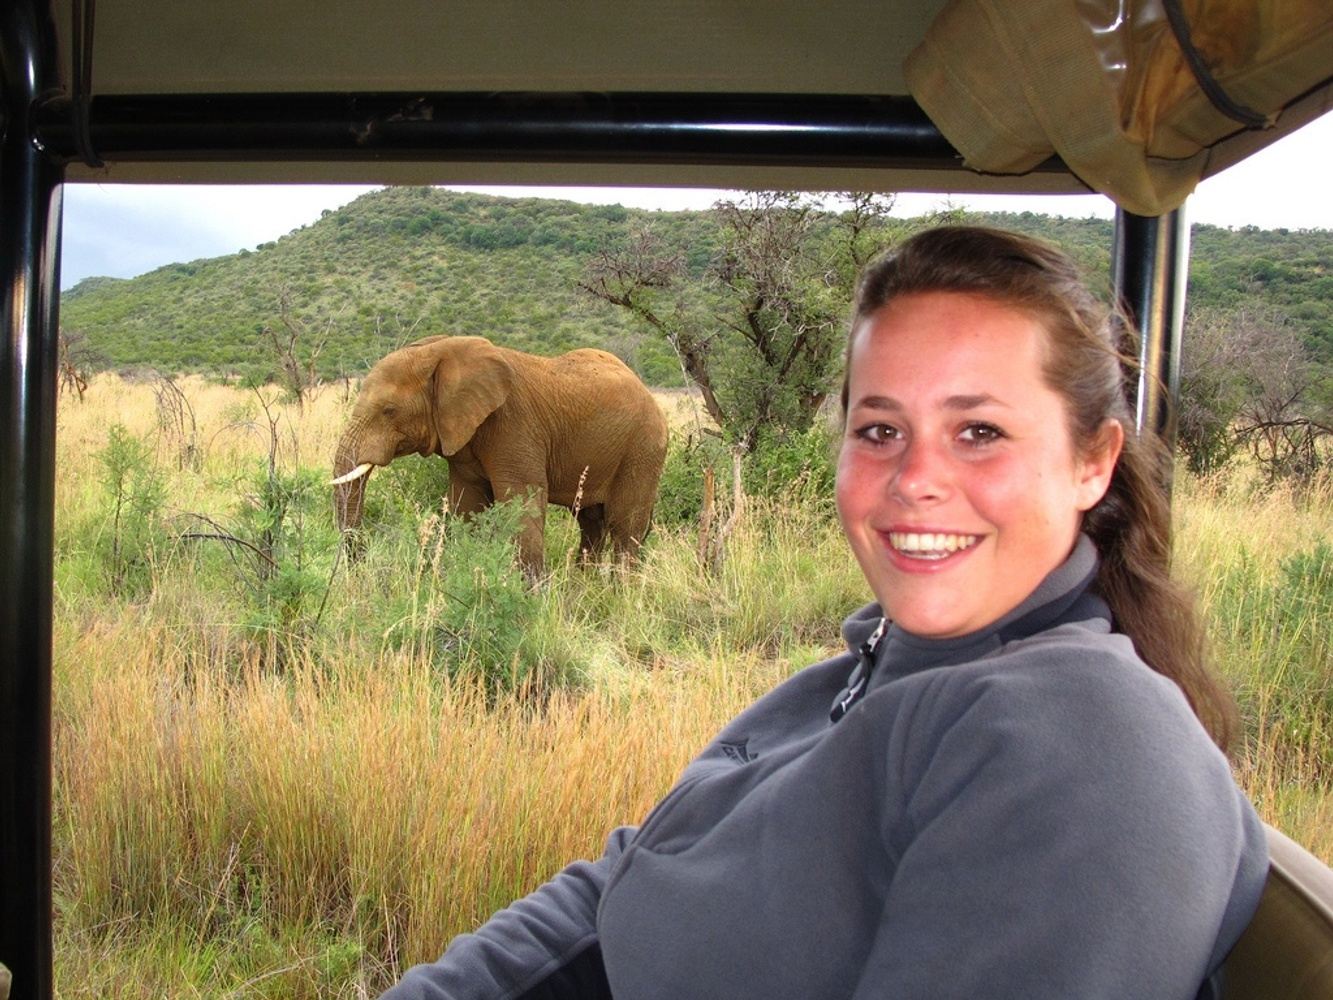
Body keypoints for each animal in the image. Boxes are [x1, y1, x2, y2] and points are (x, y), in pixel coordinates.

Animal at [332, 335, 669, 574]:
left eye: (389, 411)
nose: (359, 559)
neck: (441, 350)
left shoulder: (515, 425)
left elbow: (522, 499)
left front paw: (529, 593)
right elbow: (467, 504)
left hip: (643, 449)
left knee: (624, 526)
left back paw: (620, 591)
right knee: (591, 523)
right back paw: (583, 585)